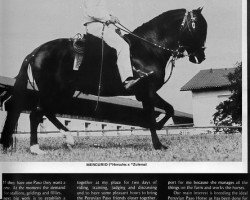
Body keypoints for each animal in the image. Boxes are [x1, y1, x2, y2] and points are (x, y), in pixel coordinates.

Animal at [0, 7, 207, 153]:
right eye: (197, 26)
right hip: (51, 91)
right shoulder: (146, 92)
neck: (148, 49)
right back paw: (36, 148)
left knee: (46, 112)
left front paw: (158, 132)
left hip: (63, 92)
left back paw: (68, 139)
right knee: (35, 114)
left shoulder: (145, 93)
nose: (200, 57)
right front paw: (157, 144)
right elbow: (152, 115)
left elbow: (169, 109)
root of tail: (35, 52)